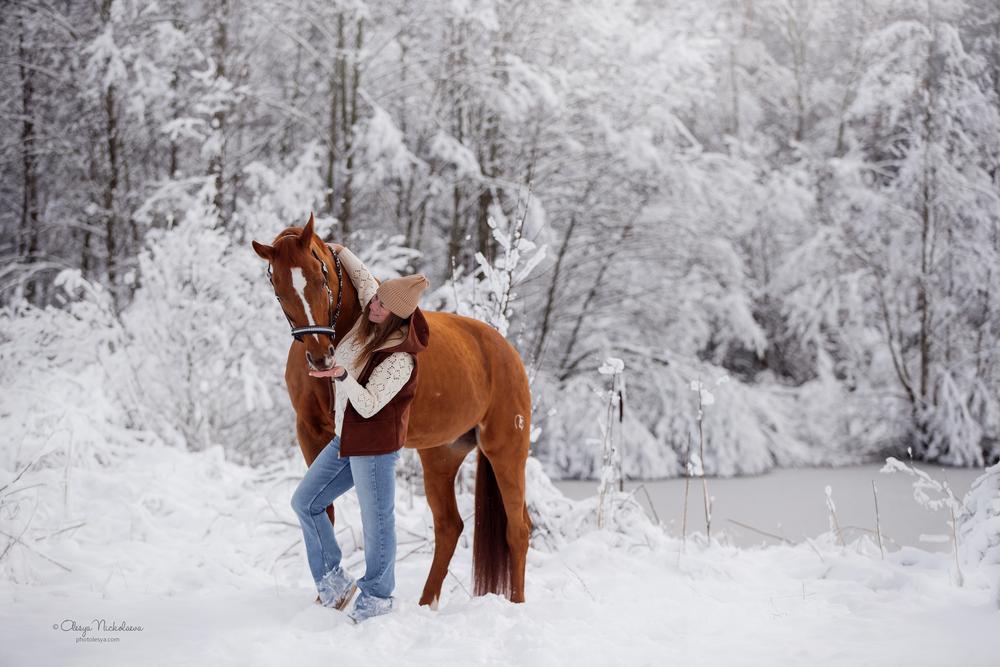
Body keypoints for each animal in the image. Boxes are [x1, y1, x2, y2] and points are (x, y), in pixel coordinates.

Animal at [251, 214, 532, 605]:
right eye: (278, 290)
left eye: (320, 276)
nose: (322, 358)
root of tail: (506, 351)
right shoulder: (310, 432)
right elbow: (323, 511)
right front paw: (328, 597)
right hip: (441, 455)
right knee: (450, 526)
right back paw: (426, 604)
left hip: (506, 451)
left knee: (517, 529)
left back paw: (515, 605)